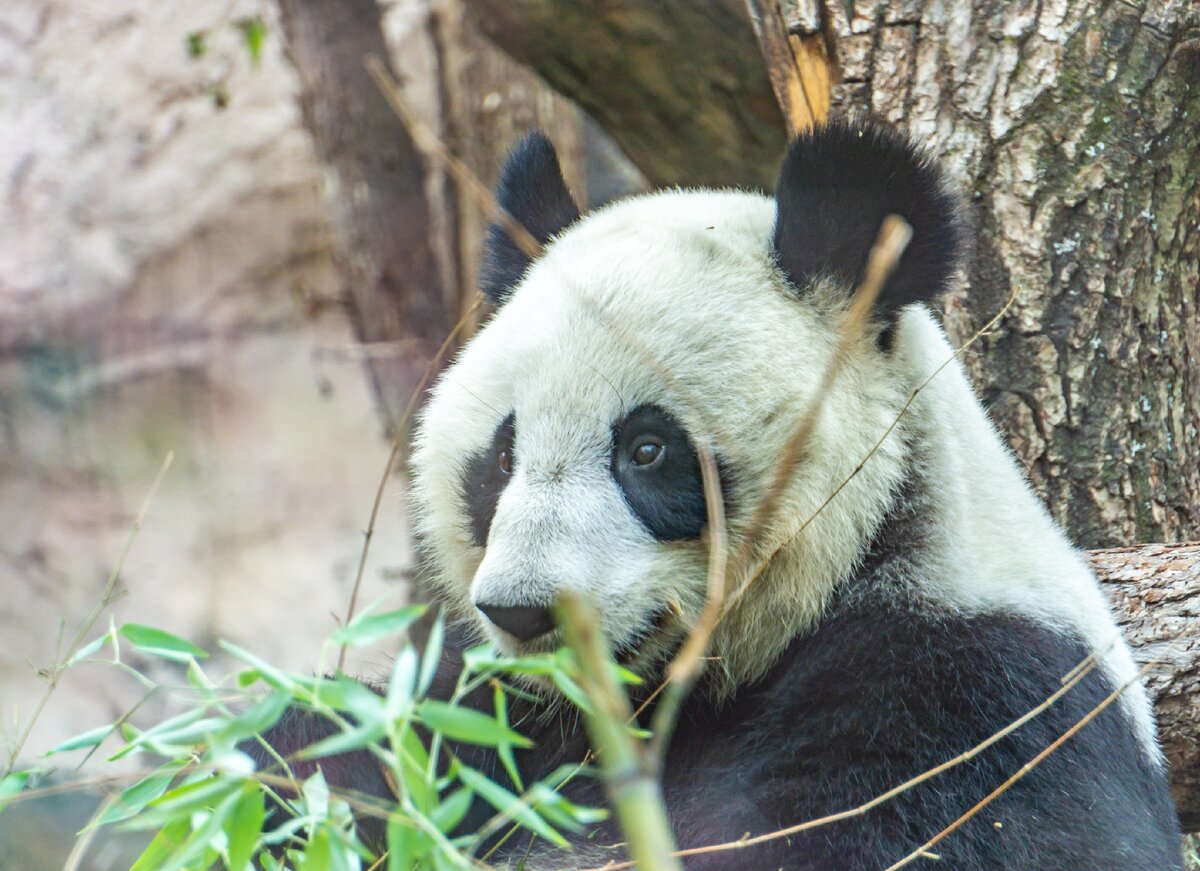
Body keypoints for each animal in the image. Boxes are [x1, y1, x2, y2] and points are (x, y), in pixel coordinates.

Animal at [253, 119, 1180, 868]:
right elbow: (328, 762)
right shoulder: (483, 719)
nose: (524, 610)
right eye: (502, 455)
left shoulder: (971, 691)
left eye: (647, 449)